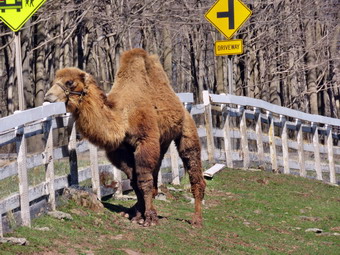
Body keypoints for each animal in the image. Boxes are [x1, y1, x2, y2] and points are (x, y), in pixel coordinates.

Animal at [43, 48, 206, 227]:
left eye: (70, 82)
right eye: (55, 80)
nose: (48, 97)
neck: (123, 118)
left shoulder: (145, 139)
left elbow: (143, 181)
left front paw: (149, 218)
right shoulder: (120, 149)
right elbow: (134, 180)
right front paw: (138, 214)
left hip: (186, 128)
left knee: (192, 165)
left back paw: (197, 219)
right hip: (162, 141)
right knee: (156, 171)